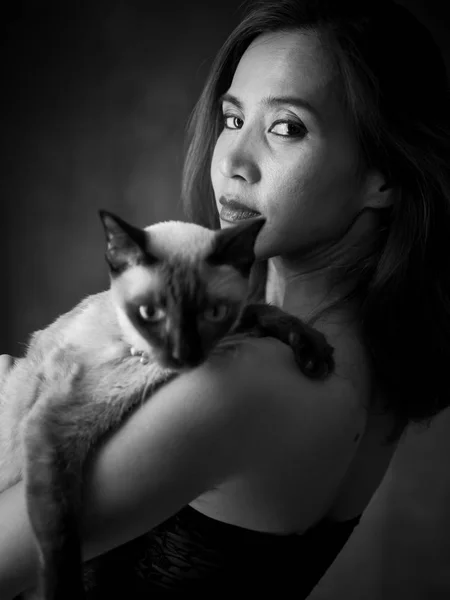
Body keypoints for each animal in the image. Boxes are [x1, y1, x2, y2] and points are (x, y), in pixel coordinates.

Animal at [0, 211, 334, 600]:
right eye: (149, 313)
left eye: (213, 312)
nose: (184, 354)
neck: (135, 351)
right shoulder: (55, 428)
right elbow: (60, 532)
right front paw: (63, 592)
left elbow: (260, 310)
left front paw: (314, 351)